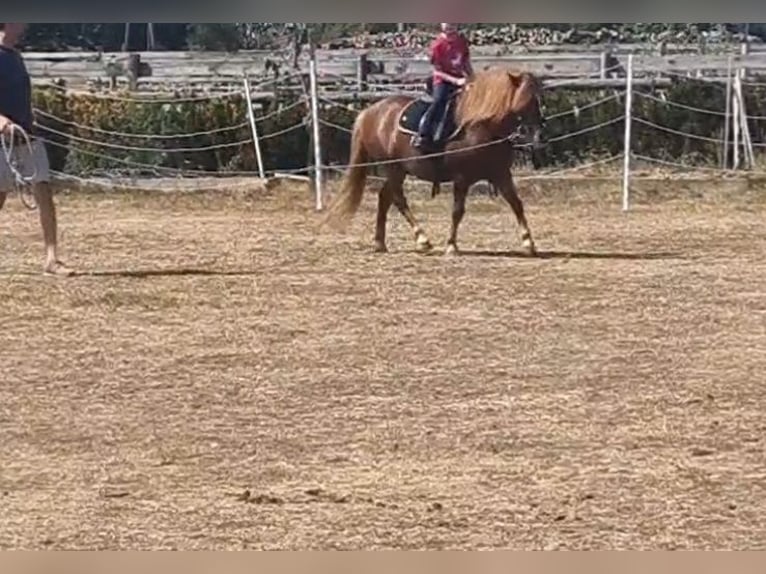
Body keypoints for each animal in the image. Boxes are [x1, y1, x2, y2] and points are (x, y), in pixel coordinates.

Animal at [322, 68, 545, 256]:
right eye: (526, 99)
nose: (538, 136)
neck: (481, 127)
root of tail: (369, 113)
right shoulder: (462, 178)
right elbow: (457, 211)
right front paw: (451, 245)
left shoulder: (501, 174)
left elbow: (516, 204)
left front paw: (529, 243)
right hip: (392, 167)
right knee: (398, 199)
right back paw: (422, 239)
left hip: (399, 170)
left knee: (385, 197)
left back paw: (380, 243)